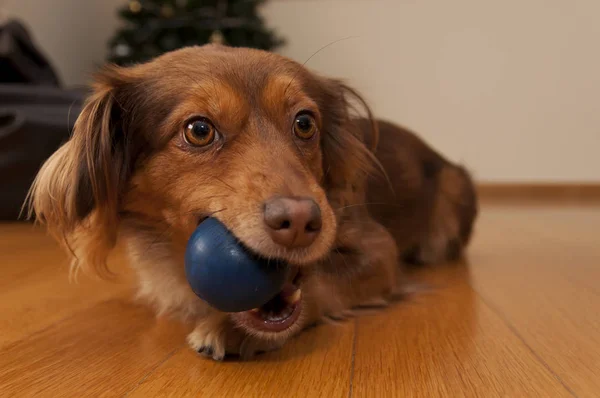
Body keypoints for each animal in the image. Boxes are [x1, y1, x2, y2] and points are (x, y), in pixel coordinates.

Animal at [27, 45, 478, 360]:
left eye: (305, 123)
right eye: (198, 130)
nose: (301, 222)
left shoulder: (379, 251)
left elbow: (320, 279)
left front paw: (234, 328)